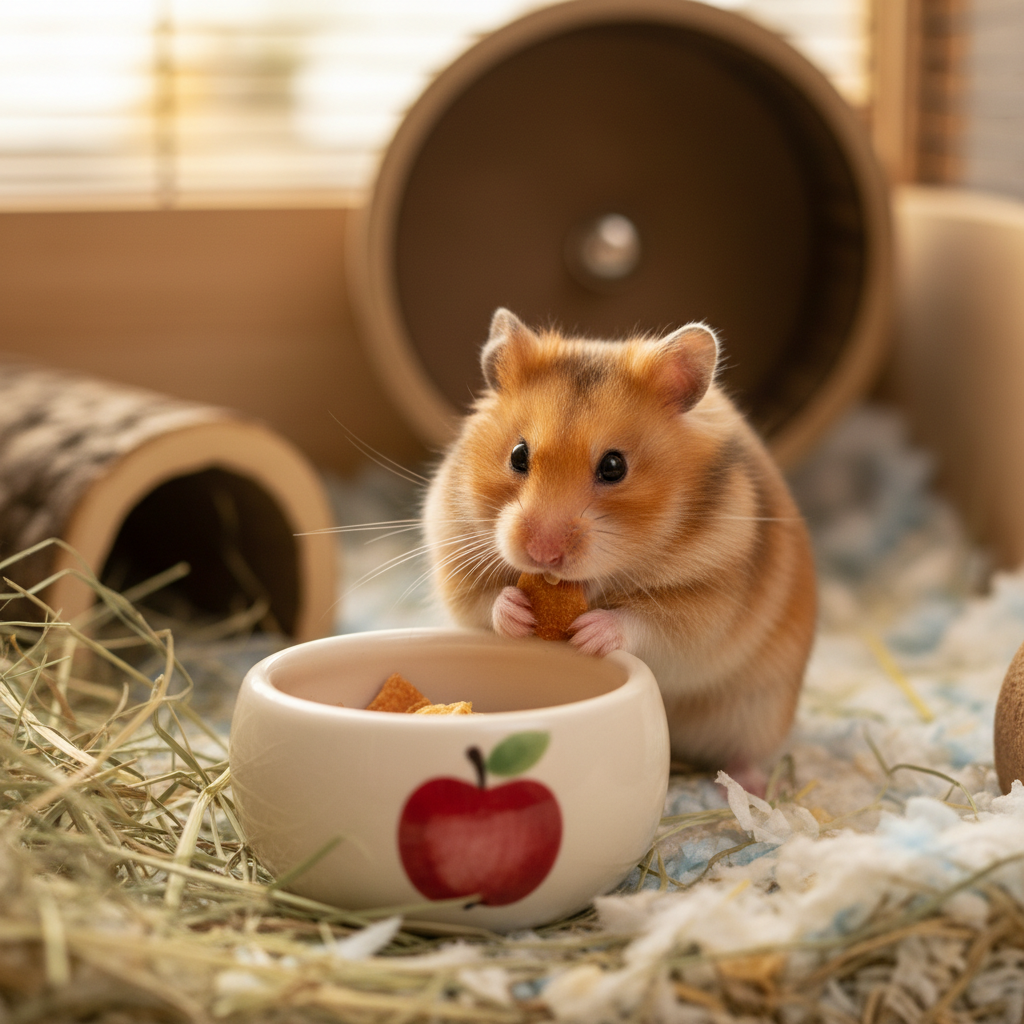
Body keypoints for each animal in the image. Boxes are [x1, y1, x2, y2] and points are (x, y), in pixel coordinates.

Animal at [423, 308, 817, 794]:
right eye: (517, 455)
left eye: (614, 466)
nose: (542, 555)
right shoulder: (453, 553)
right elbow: (484, 603)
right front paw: (518, 611)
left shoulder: (709, 603)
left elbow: (648, 623)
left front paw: (590, 632)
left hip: (757, 712)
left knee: (743, 755)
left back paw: (755, 789)